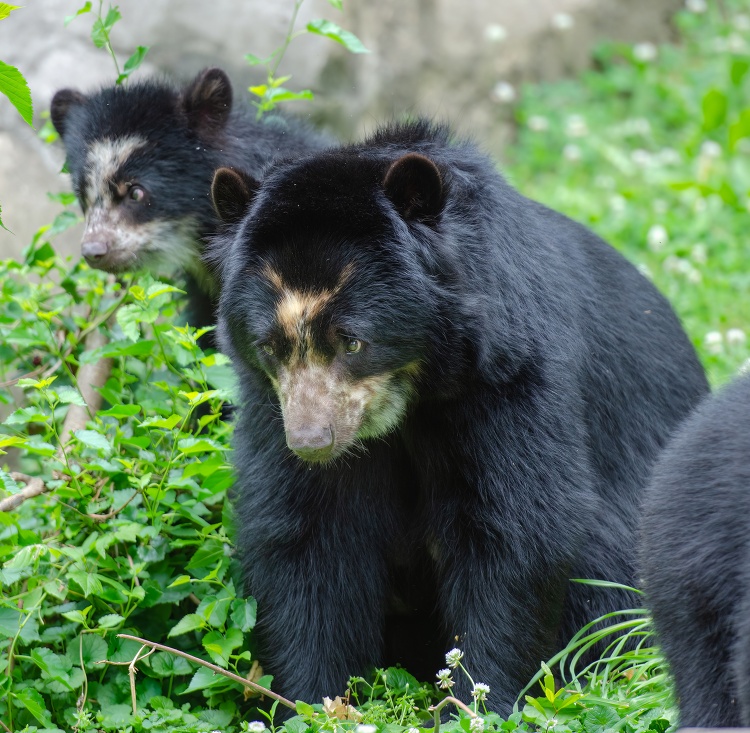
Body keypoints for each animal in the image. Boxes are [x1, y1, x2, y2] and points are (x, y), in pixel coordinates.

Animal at [207, 121, 712, 716]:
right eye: (270, 346)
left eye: (353, 341)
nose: (311, 442)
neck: (410, 400)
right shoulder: (271, 406)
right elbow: (309, 533)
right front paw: (317, 704)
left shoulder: (511, 373)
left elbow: (514, 528)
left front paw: (478, 703)